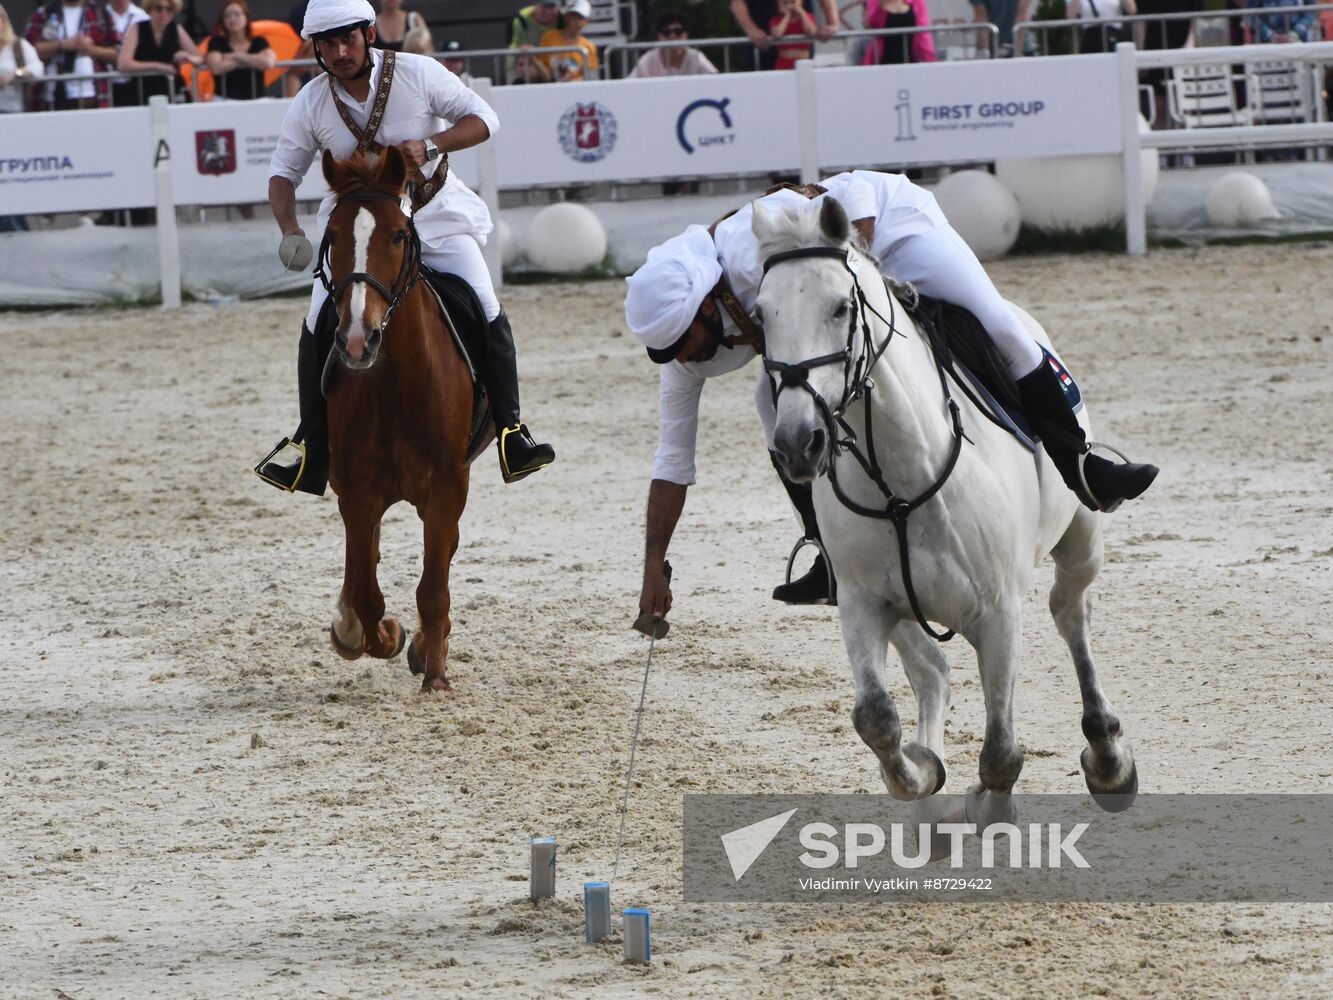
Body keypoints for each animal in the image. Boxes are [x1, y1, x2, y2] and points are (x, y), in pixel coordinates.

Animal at [317, 148, 485, 693]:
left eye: (397, 235)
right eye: (333, 235)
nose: (356, 340)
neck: (397, 385)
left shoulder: (449, 484)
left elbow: (433, 585)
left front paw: (434, 673)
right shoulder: (356, 490)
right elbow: (367, 590)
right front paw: (374, 634)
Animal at [757, 196, 1141, 816]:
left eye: (841, 308)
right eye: (762, 315)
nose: (798, 443)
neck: (899, 477)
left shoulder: (999, 615)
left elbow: (1001, 752)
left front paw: (989, 809)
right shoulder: (863, 603)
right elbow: (875, 718)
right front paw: (922, 775)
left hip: (1081, 536)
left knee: (1071, 613)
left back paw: (1108, 759)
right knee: (932, 672)